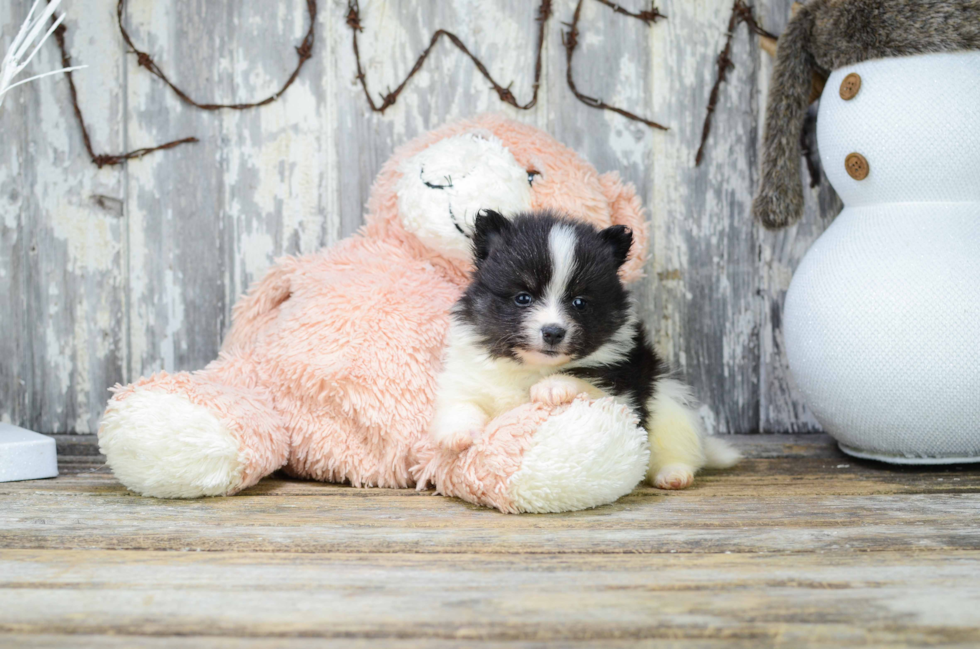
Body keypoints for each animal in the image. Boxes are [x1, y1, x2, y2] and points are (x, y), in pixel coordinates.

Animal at [430, 210, 744, 488]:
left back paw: (674, 474)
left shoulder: (623, 389)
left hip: (669, 402)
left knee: (679, 449)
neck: (534, 366)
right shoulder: (468, 375)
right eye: (523, 298)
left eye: (579, 302)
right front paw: (458, 434)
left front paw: (553, 386)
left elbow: (586, 379)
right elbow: (461, 403)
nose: (553, 332)